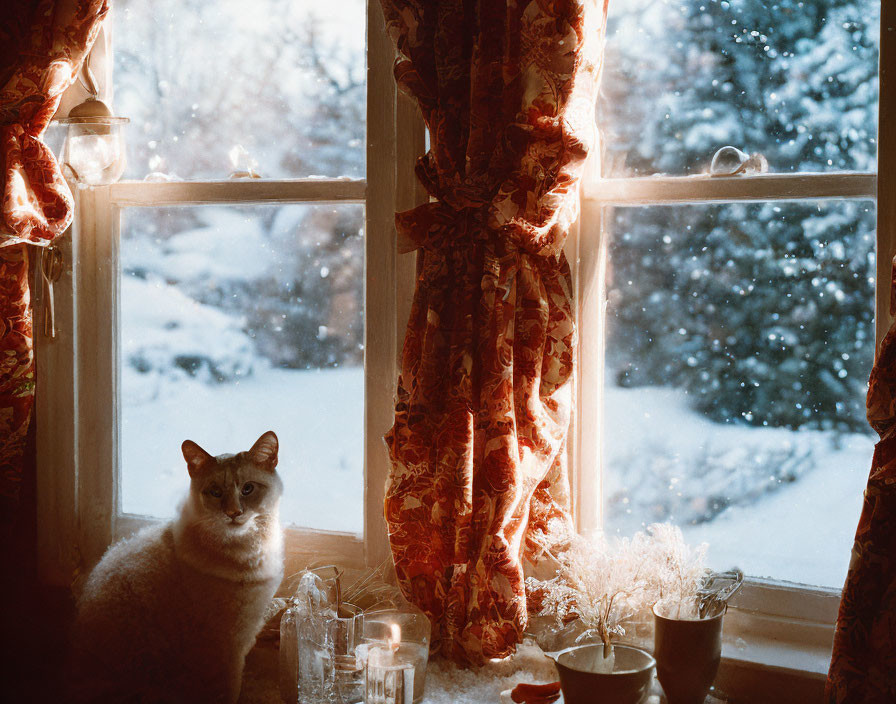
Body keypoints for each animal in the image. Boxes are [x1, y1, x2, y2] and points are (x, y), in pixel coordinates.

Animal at [69, 428, 284, 704]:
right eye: (215, 492)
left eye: (248, 489)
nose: (233, 513)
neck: (248, 546)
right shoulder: (229, 645)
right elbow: (230, 689)